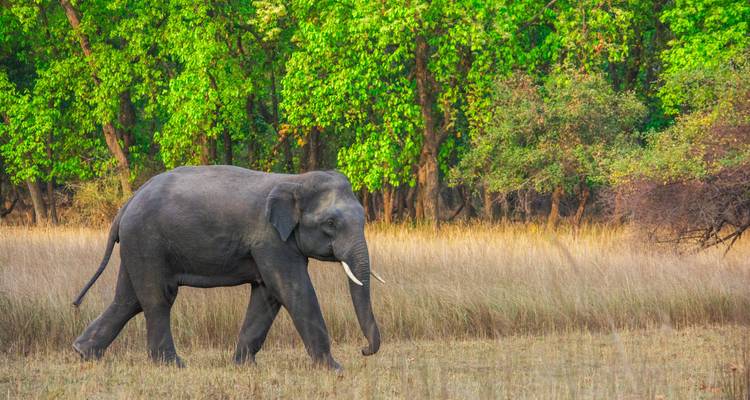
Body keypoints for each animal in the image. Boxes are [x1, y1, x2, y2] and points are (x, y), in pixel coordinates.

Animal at [71, 166, 383, 370]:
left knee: (128, 300)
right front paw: (334, 368)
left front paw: (244, 366)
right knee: (158, 298)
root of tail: (127, 204)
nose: (364, 350)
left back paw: (84, 353)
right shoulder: (270, 239)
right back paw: (173, 365)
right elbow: (293, 290)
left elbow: (268, 294)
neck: (294, 181)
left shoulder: (272, 244)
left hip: (137, 245)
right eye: (330, 223)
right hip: (147, 242)